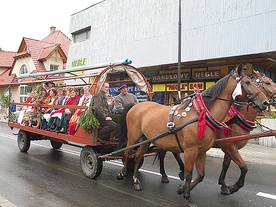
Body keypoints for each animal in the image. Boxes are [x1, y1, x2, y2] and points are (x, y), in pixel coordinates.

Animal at [117, 65, 270, 207]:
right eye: (248, 82)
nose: (266, 103)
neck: (202, 114)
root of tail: (136, 105)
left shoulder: (203, 151)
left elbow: (201, 175)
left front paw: (182, 189)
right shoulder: (195, 149)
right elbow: (189, 173)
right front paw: (188, 196)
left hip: (147, 140)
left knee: (138, 157)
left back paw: (136, 181)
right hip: (134, 138)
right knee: (127, 153)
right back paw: (123, 173)